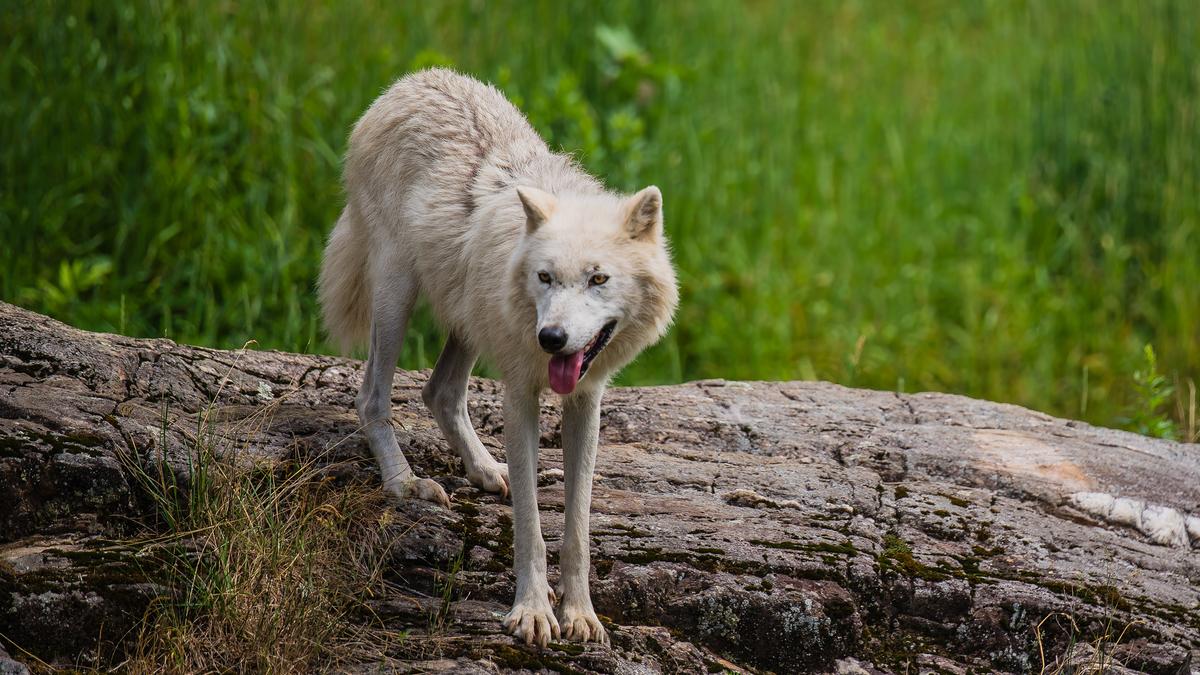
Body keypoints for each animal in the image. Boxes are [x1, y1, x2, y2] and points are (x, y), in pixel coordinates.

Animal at [318, 69, 678, 647]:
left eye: (599, 278)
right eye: (545, 277)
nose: (552, 338)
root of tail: (410, 81)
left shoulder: (586, 401)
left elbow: (577, 525)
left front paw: (581, 614)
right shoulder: (519, 394)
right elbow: (530, 524)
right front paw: (532, 611)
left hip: (469, 316)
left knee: (439, 391)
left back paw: (487, 469)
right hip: (397, 293)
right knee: (372, 394)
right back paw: (405, 484)